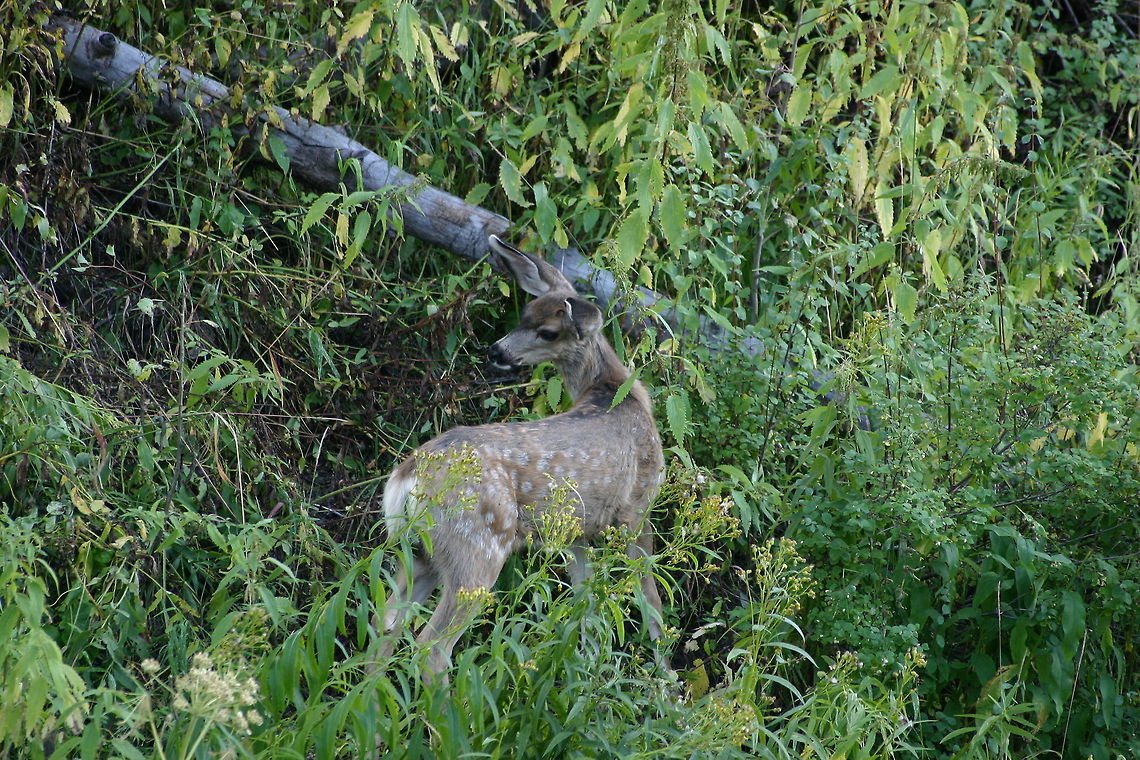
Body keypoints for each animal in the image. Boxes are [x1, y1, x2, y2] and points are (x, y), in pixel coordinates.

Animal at [376, 235, 667, 681]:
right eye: (525, 316)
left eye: (546, 329)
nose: (495, 351)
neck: (616, 395)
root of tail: (409, 475)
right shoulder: (636, 507)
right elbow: (650, 600)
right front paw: (669, 683)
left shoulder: (579, 532)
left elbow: (584, 609)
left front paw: (585, 674)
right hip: (477, 545)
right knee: (431, 647)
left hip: (420, 551)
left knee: (386, 621)